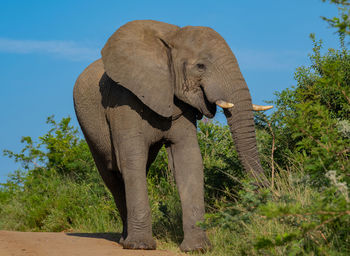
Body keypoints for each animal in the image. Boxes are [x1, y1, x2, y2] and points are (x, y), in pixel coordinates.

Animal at [72, 20, 272, 252]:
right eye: (200, 66)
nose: (265, 193)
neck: (170, 37)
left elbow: (189, 159)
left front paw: (197, 248)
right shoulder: (123, 101)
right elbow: (132, 159)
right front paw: (141, 246)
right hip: (88, 126)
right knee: (112, 174)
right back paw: (126, 241)